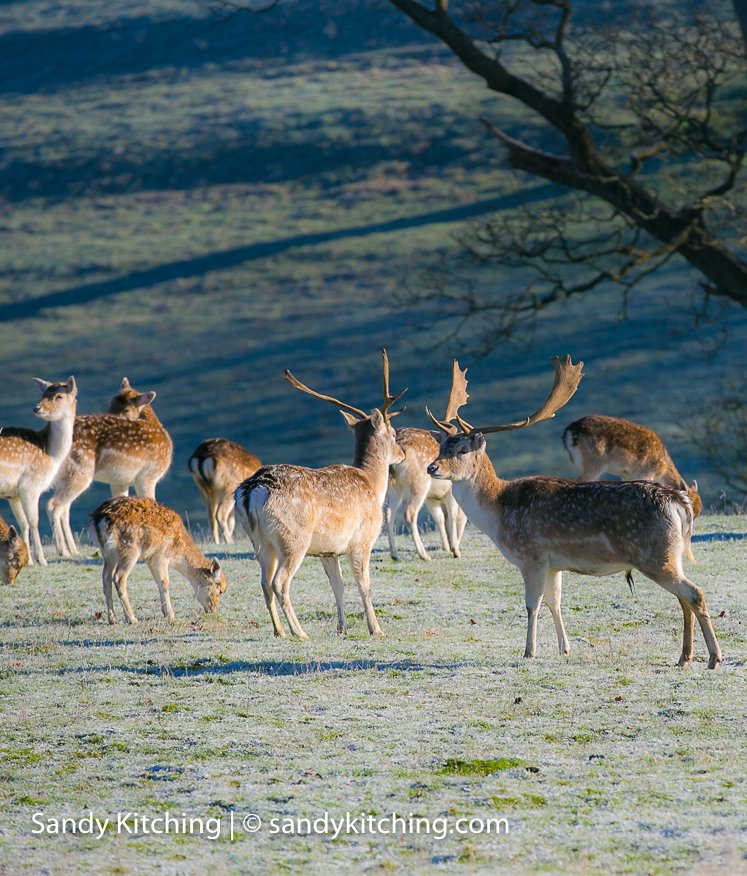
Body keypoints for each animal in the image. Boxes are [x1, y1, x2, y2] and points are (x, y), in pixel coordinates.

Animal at [0, 377, 78, 565]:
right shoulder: (30, 486)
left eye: (59, 396)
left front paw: (28, 561)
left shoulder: (13, 494)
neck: (51, 454)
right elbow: (33, 521)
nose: (37, 408)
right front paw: (42, 560)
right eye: (43, 395)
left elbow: (23, 523)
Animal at [47, 378, 172, 558]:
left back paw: (73, 549)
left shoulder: (119, 481)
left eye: (126, 409)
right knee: (54, 505)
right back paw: (63, 551)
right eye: (110, 404)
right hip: (79, 473)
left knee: (65, 508)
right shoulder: (148, 477)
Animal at [91, 496, 227, 624]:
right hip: (129, 550)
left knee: (106, 577)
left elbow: (157, 581)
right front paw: (171, 615)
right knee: (119, 577)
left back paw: (112, 619)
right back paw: (132, 619)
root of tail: (99, 519)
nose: (213, 610)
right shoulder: (161, 555)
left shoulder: (150, 558)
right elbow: (164, 582)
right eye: (220, 590)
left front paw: (165, 612)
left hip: (108, 554)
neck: (177, 554)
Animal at [235, 350, 406, 640]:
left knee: (264, 583)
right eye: (393, 433)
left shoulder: (329, 550)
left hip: (260, 542)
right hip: (294, 538)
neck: (372, 483)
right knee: (279, 582)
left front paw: (342, 629)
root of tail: (251, 491)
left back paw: (280, 631)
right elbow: (364, 585)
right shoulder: (361, 540)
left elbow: (338, 586)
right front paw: (376, 629)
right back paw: (299, 632)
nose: (402, 454)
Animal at [386, 427, 467, 561]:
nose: (458, 543)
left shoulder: (430, 498)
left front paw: (446, 547)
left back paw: (394, 555)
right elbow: (452, 516)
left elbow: (439, 518)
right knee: (409, 513)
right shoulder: (450, 492)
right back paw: (424, 555)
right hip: (419, 482)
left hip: (394, 484)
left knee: (388, 513)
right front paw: (455, 550)